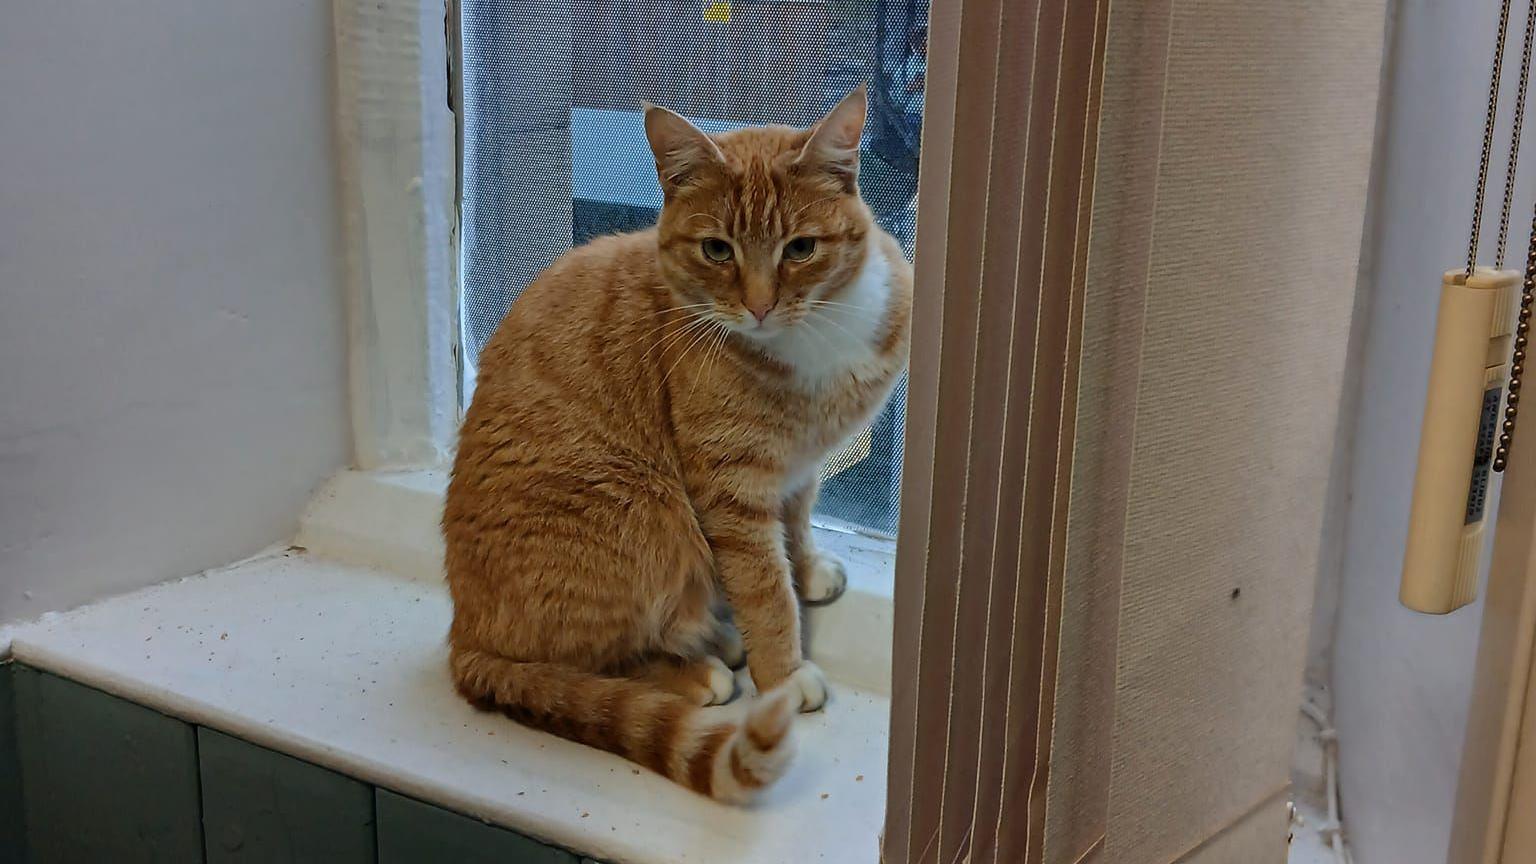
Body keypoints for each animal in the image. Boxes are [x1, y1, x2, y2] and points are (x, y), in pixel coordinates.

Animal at [445, 89, 909, 799]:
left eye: (800, 248)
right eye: (717, 250)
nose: (760, 307)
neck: (809, 348)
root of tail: (462, 635)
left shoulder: (798, 471)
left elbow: (797, 527)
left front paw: (806, 570)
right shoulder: (732, 490)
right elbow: (764, 589)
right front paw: (785, 673)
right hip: (644, 514)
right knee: (582, 662)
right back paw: (698, 669)